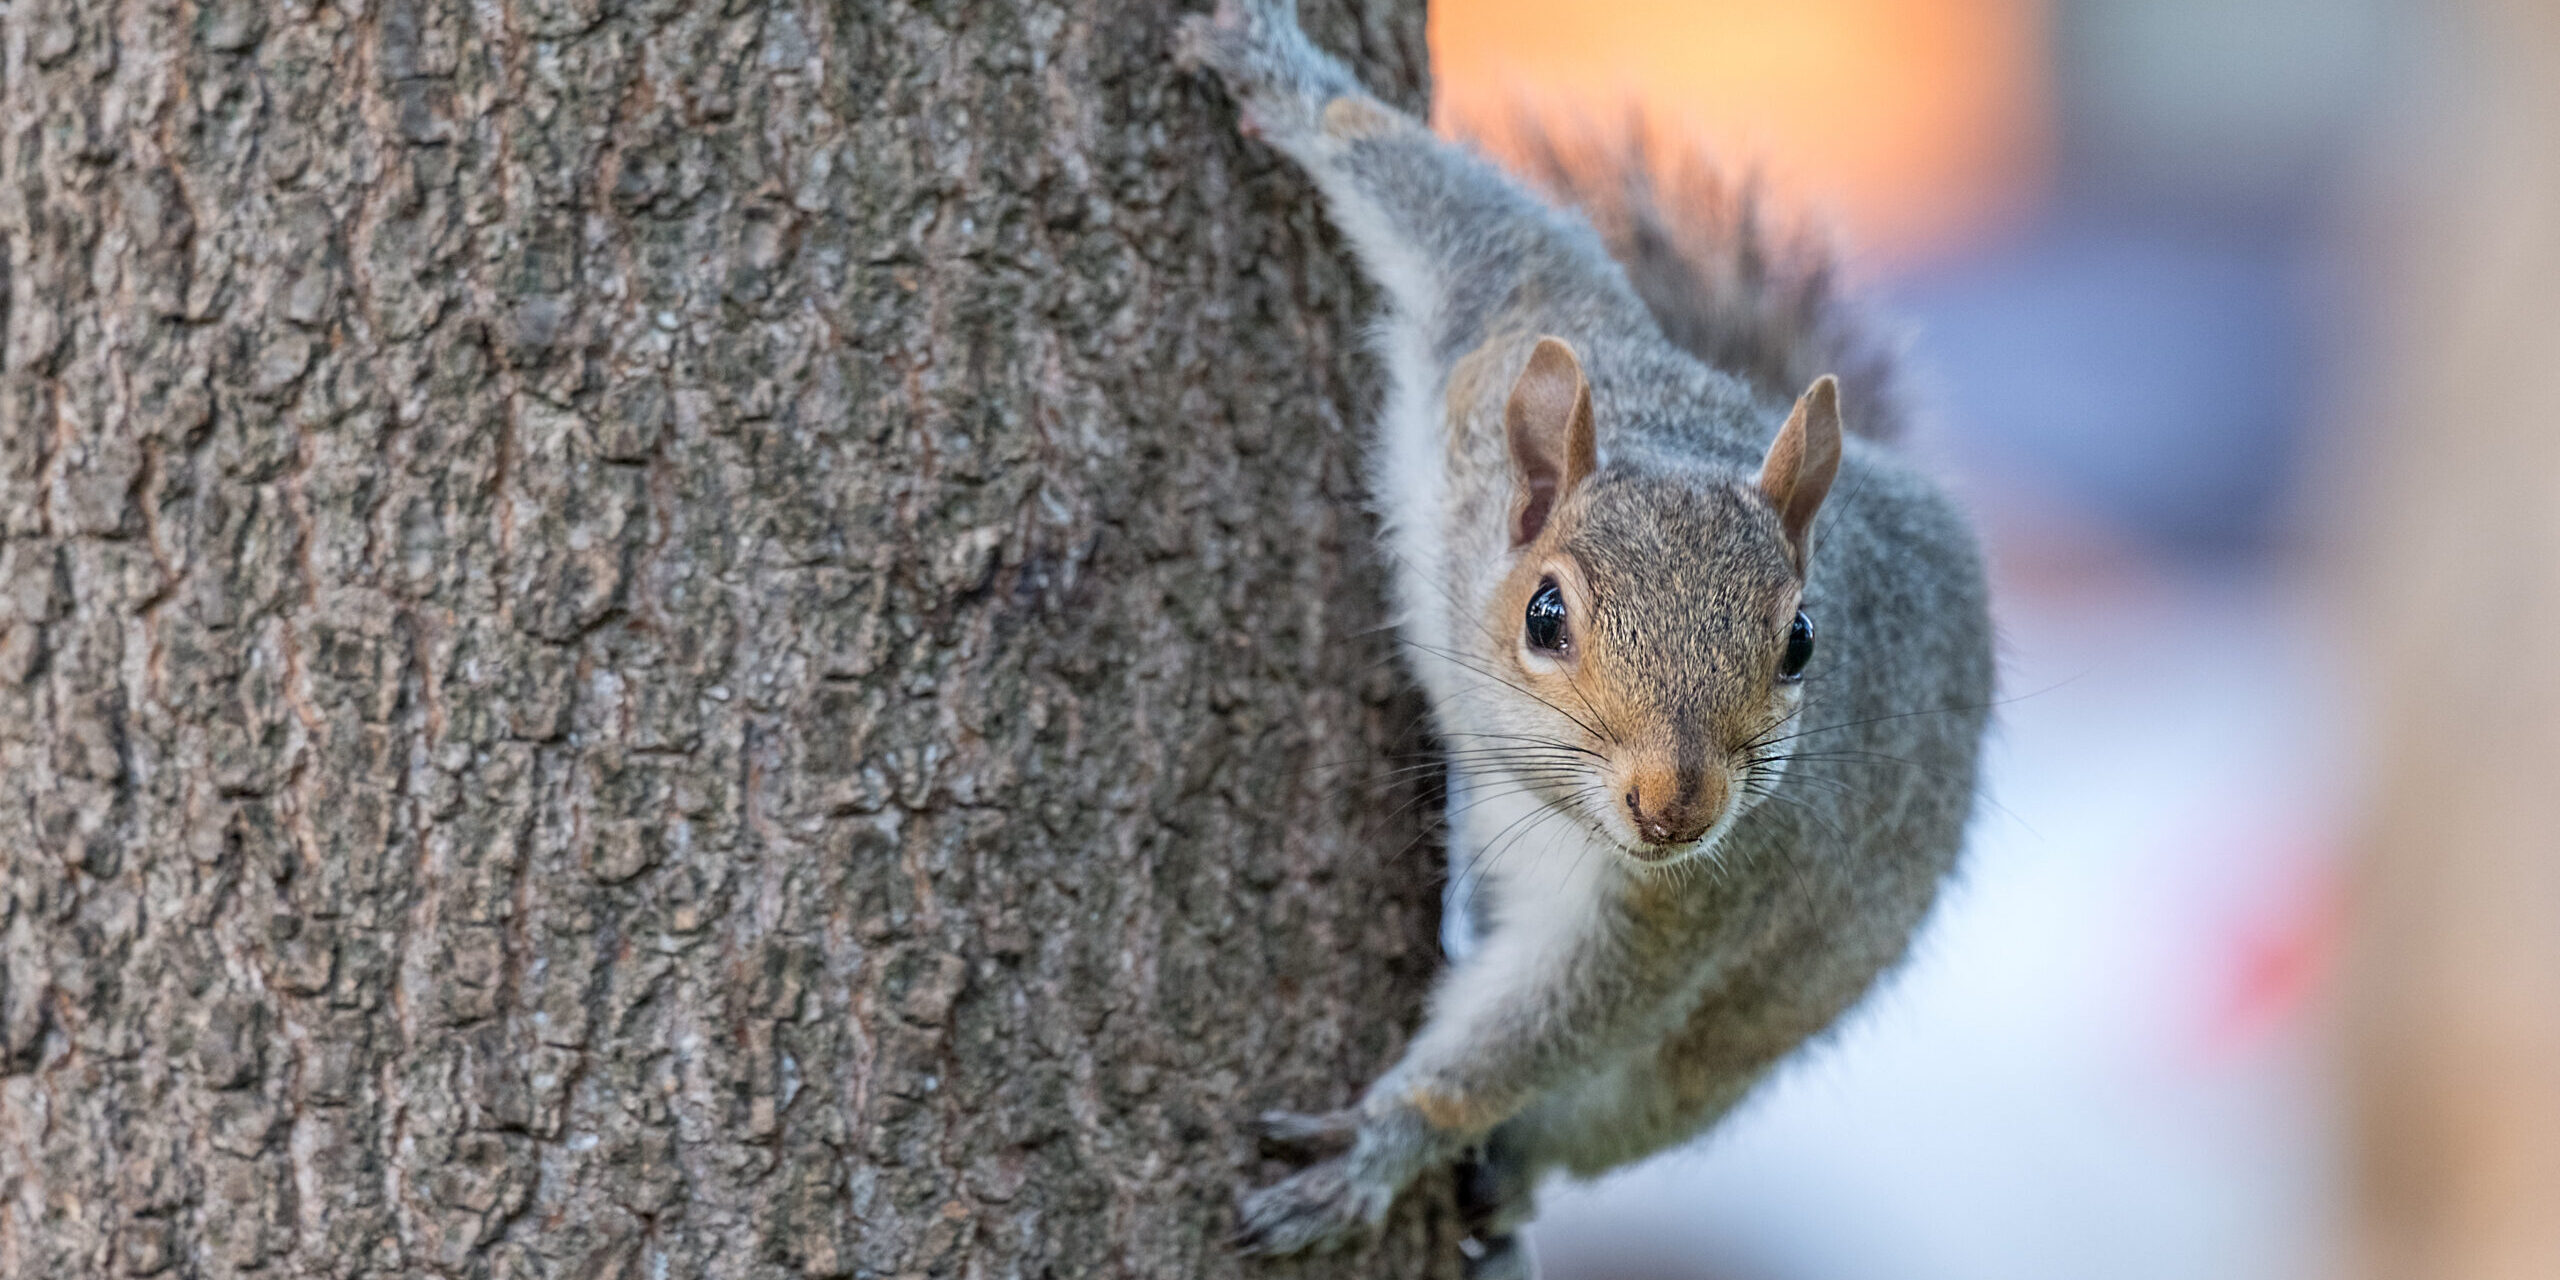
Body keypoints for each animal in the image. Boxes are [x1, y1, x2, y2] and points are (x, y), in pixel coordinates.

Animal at [1179, 3, 1995, 1275]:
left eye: (1802, 641)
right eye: (1544, 615)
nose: (1674, 807)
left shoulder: (1697, 899)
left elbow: (1551, 1022)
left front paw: (1385, 1142)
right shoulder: (1505, 330)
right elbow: (1451, 202)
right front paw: (1284, 80)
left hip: (1702, 1068)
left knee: (1584, 1119)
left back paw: (1504, 1190)